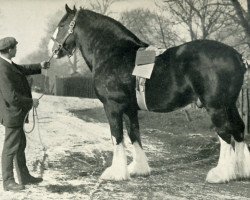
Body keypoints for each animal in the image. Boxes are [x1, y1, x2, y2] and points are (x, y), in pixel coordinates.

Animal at [48, 4, 250, 183]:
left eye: (62, 25)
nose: (52, 49)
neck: (113, 54)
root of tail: (238, 57)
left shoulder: (112, 106)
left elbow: (117, 137)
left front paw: (115, 173)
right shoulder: (130, 109)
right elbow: (134, 135)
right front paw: (139, 169)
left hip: (216, 106)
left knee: (225, 133)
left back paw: (220, 175)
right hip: (230, 104)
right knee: (239, 129)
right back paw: (241, 171)